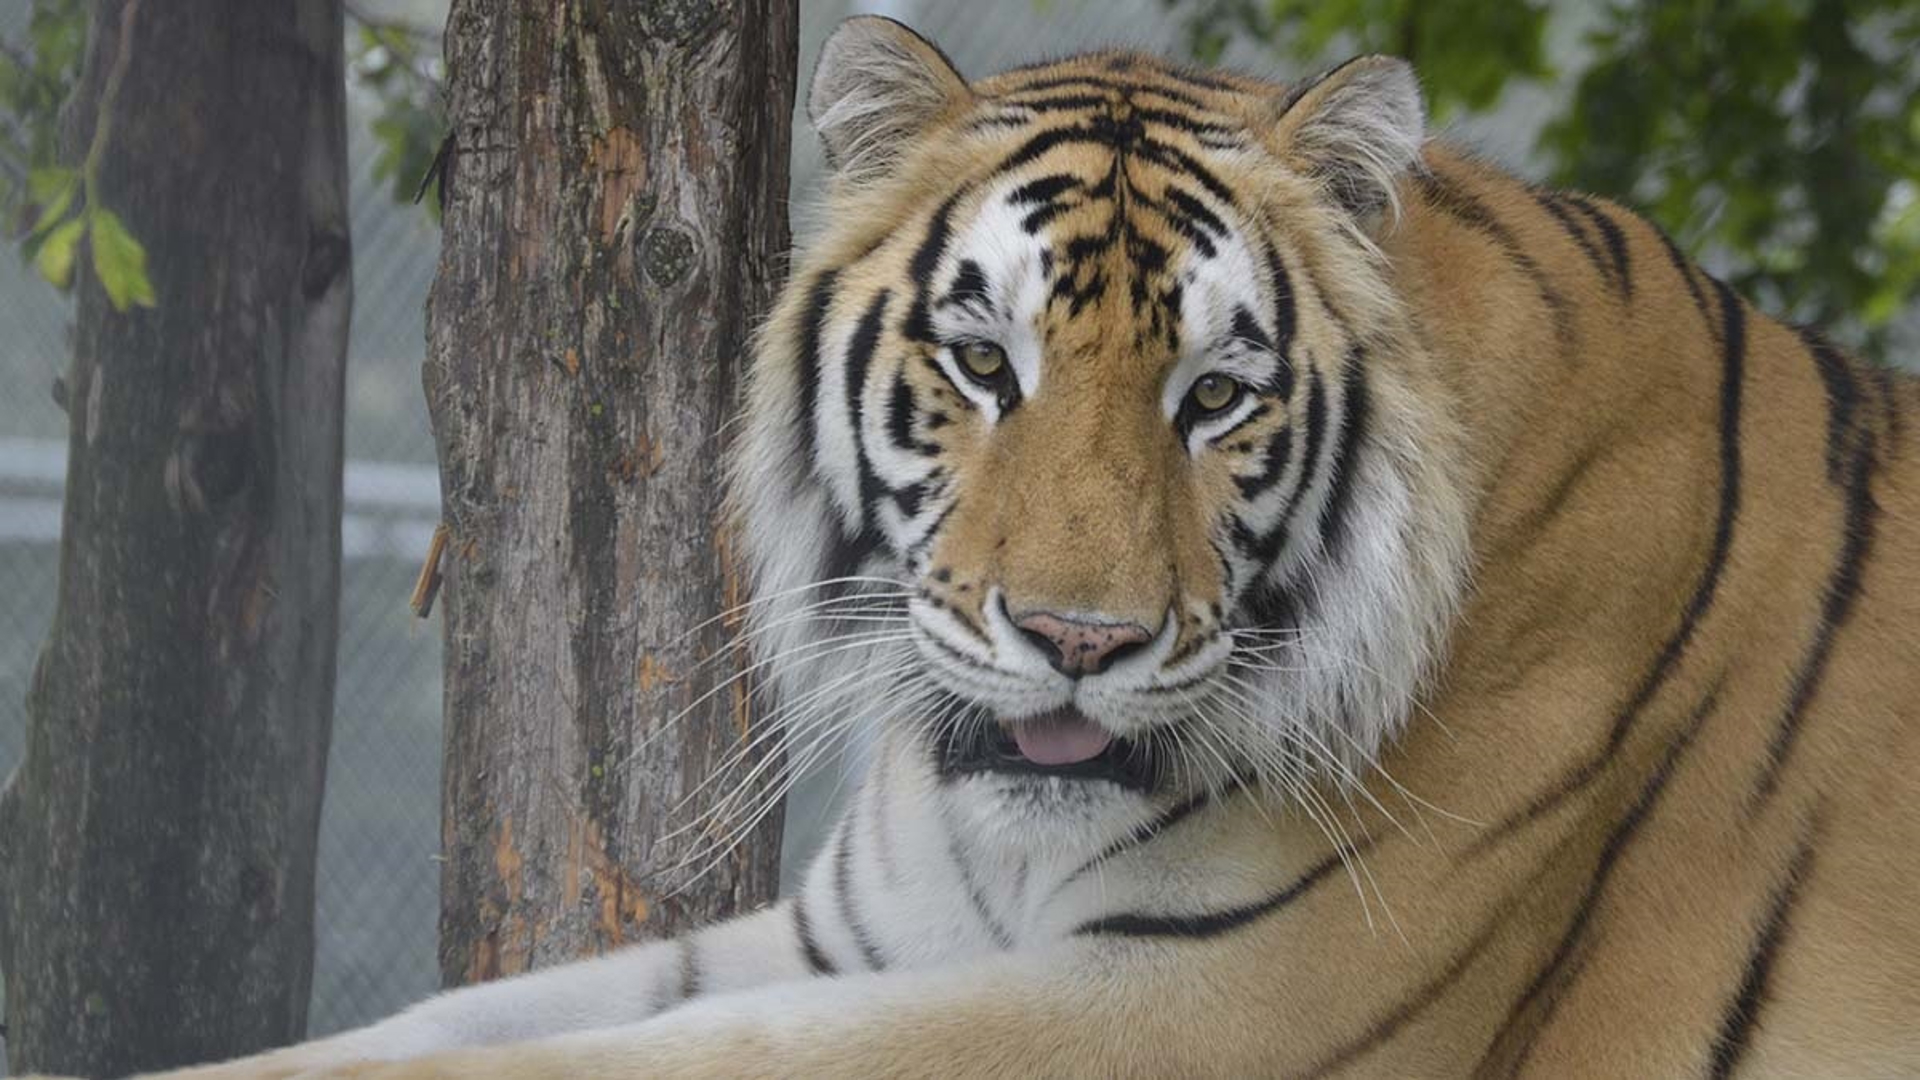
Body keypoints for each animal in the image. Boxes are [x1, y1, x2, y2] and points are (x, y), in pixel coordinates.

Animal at [139, 16, 1920, 1076]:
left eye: (1217, 399)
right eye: (986, 363)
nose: (1078, 643)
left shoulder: (1199, 1005)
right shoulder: (853, 935)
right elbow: (462, 1020)